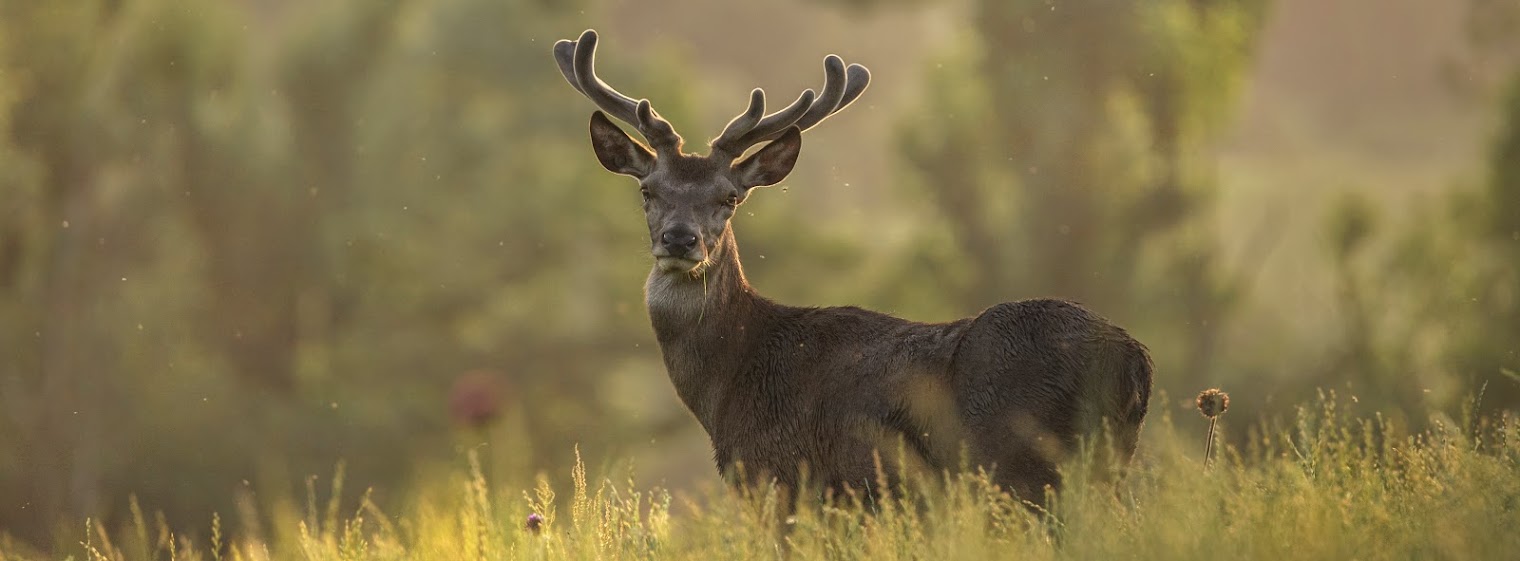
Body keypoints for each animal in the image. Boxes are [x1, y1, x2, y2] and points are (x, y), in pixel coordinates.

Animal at [551, 29, 1152, 505]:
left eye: (729, 198)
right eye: (648, 191)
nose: (681, 239)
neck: (729, 385)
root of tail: (1135, 362)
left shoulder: (785, 480)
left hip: (1027, 464)